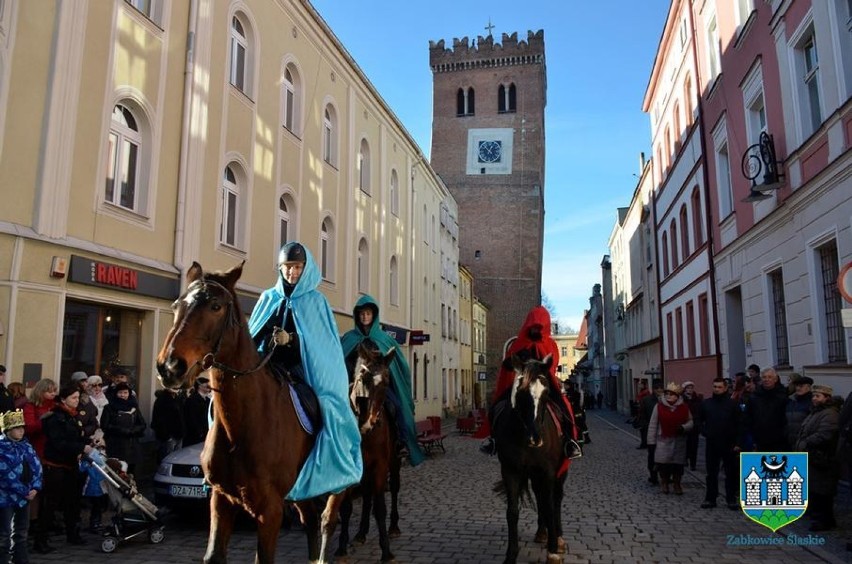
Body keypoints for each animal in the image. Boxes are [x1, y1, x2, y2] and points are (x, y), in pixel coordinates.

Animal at [153, 264, 342, 564]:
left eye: (216, 306)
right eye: (176, 305)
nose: (170, 367)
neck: (241, 426)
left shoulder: (271, 509)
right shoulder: (221, 498)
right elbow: (214, 555)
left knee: (326, 521)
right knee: (311, 521)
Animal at [334, 342, 398, 560]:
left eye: (387, 382)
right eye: (363, 379)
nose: (371, 423)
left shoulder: (380, 466)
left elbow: (380, 507)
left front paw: (386, 551)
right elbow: (346, 508)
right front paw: (341, 547)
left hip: (393, 462)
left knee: (394, 489)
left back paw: (394, 526)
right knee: (367, 494)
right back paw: (361, 533)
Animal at [492, 354, 564, 564]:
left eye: (546, 393)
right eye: (522, 393)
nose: (536, 438)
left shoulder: (548, 471)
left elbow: (550, 506)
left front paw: (553, 551)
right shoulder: (510, 470)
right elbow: (512, 511)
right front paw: (511, 554)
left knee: (556, 499)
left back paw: (558, 537)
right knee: (540, 497)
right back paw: (542, 532)